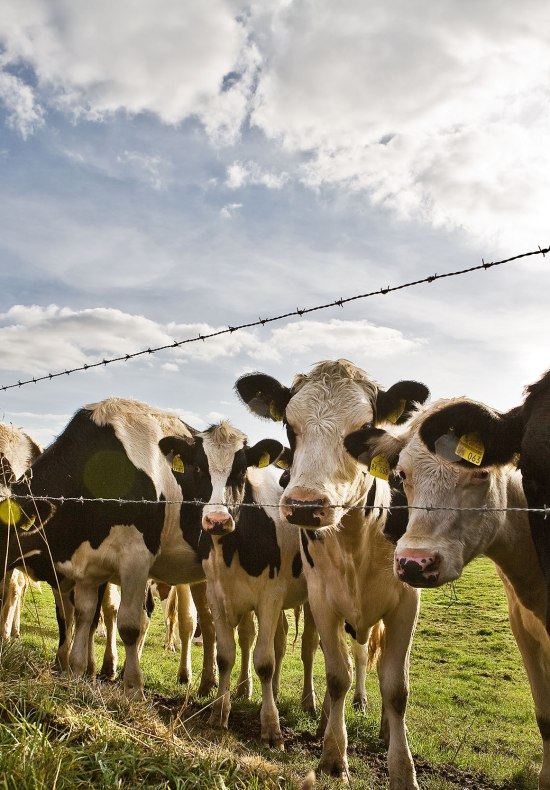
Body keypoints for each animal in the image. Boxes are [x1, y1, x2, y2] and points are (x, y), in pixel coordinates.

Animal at [0, 397, 218, 699]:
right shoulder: (83, 565)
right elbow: (79, 615)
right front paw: (74, 668)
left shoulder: (133, 558)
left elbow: (121, 621)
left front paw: (126, 683)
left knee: (199, 621)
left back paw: (213, 683)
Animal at [159, 421, 319, 749]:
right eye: (198, 468)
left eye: (241, 470)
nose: (217, 520)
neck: (234, 547)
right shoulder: (218, 597)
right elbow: (225, 655)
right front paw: (219, 713)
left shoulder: (270, 597)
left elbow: (264, 661)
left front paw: (271, 727)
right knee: (279, 639)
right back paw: (274, 691)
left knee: (308, 645)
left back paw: (308, 702)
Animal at [235, 359, 429, 787]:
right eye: (289, 426)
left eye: (364, 431)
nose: (305, 506)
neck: (357, 538)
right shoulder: (323, 600)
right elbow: (337, 674)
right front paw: (333, 756)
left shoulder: (406, 603)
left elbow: (397, 688)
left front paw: (402, 769)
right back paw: (325, 719)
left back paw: (382, 727)